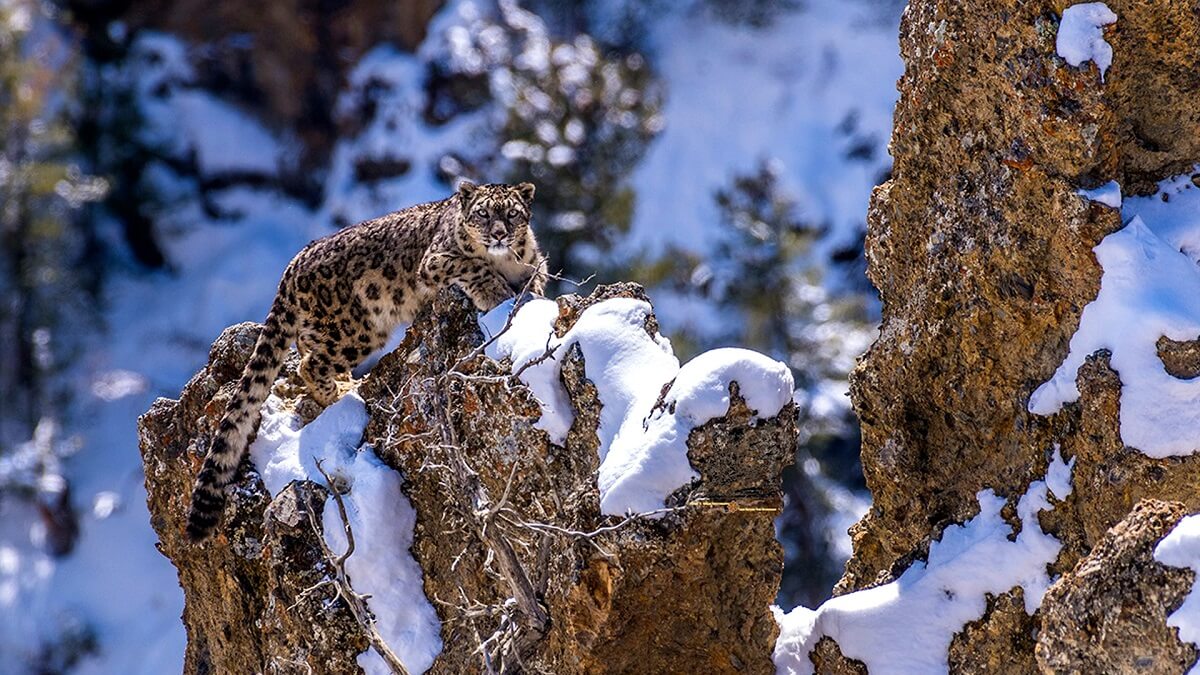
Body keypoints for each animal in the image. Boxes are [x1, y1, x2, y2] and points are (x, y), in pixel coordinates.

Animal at [187, 180, 549, 540]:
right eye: (483, 213)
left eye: (512, 214)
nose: (499, 234)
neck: (507, 260)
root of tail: (296, 260)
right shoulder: (436, 260)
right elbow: (473, 265)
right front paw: (496, 293)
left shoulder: (536, 263)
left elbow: (537, 279)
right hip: (356, 331)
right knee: (311, 364)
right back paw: (341, 394)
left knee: (306, 350)